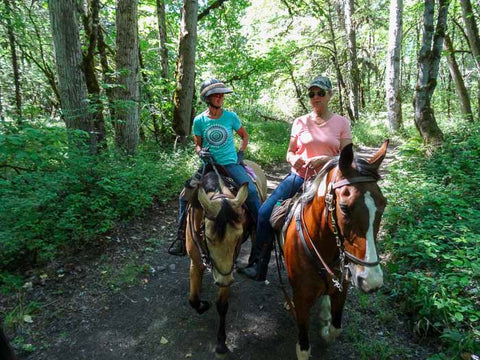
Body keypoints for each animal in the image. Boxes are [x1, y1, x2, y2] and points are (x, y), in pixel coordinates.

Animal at [185, 161, 266, 358]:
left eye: (237, 237)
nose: (225, 281)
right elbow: (193, 299)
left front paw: (221, 343)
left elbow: (222, 305)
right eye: (208, 236)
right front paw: (203, 305)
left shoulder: (226, 267)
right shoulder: (195, 262)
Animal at [284, 141, 388, 360]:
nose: (371, 281)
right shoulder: (302, 298)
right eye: (344, 207)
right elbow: (304, 347)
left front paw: (325, 330)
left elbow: (336, 328)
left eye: (383, 204)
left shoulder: (342, 290)